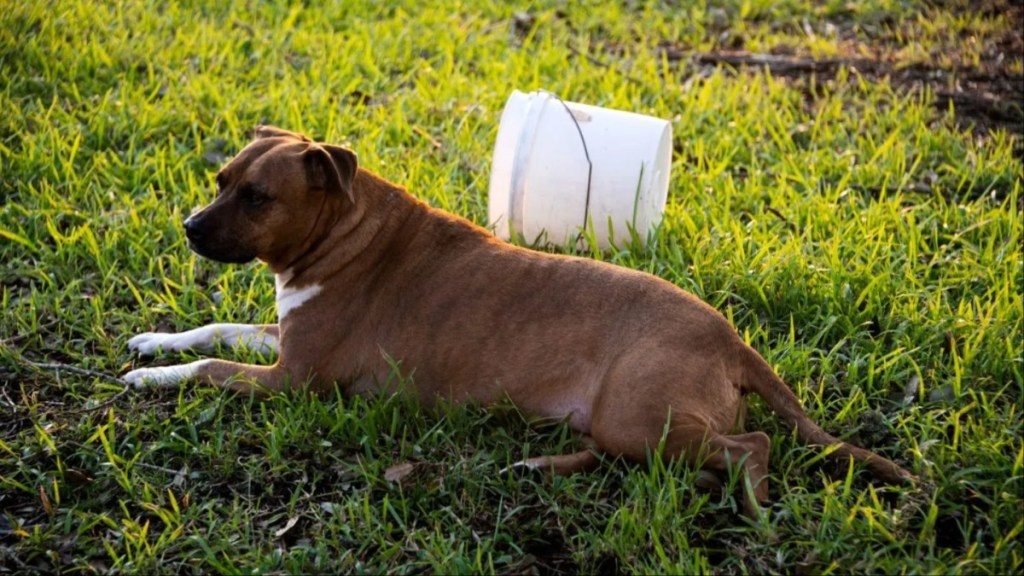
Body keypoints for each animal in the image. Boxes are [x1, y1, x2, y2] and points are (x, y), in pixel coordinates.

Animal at [123, 123, 917, 512]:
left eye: (258, 197)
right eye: (220, 180)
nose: (190, 227)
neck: (343, 230)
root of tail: (733, 341)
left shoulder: (293, 380)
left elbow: (210, 364)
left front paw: (150, 379)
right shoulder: (282, 340)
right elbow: (213, 331)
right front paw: (152, 341)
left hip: (640, 415)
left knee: (752, 445)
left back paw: (752, 506)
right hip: (620, 419)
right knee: (631, 456)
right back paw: (539, 465)